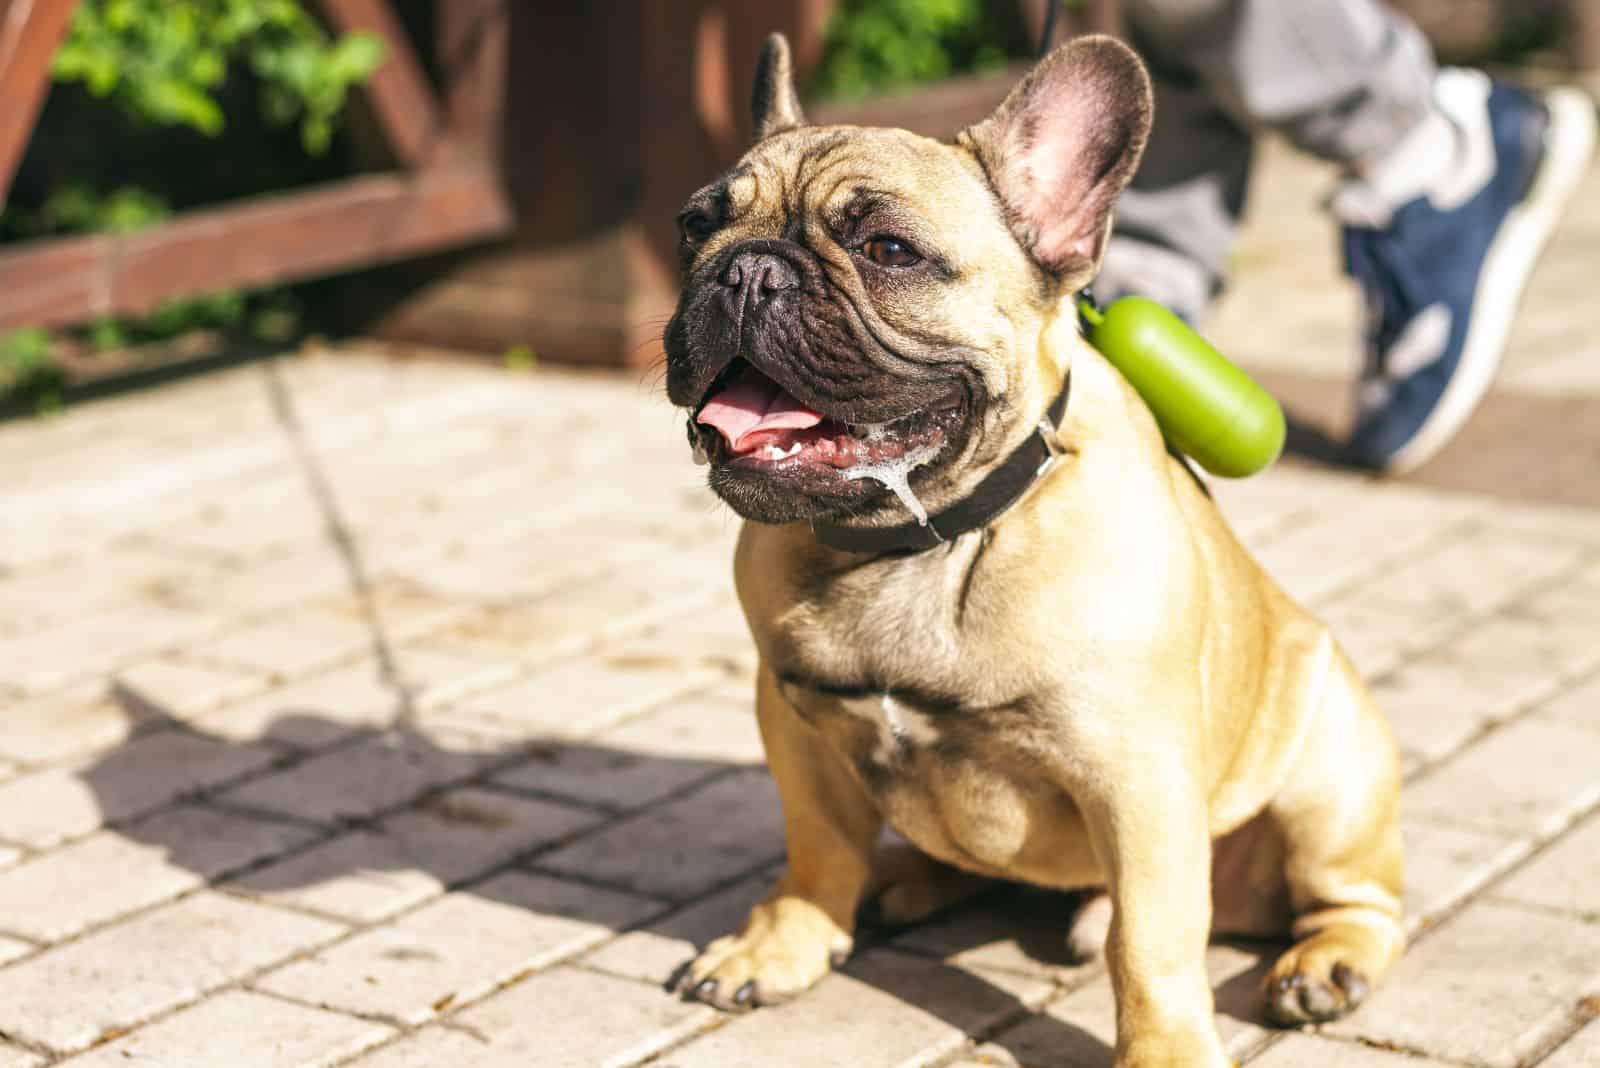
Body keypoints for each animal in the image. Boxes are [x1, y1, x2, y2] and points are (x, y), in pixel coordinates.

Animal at [662, 33, 1401, 1068]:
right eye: (695, 228)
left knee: (1356, 900)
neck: (921, 535)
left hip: (1331, 773)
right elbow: (818, 841)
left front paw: (1167, 1049)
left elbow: (1149, 941)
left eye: (888, 250)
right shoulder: (791, 719)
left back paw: (1326, 964)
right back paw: (906, 880)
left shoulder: (1136, 780)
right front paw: (782, 943)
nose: (745, 270)